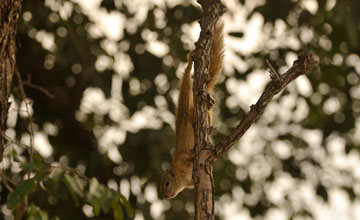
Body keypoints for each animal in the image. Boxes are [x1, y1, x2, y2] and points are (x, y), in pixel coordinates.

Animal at [162, 19, 224, 199]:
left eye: (166, 183)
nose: (165, 196)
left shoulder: (182, 159)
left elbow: (188, 156)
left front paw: (195, 154)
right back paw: (209, 104)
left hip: (191, 115)